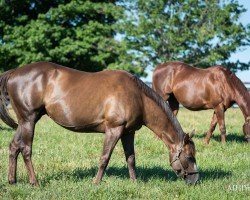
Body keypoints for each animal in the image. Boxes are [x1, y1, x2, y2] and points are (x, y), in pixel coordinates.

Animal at [0, 61, 199, 186]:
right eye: (190, 157)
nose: (195, 180)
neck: (138, 97)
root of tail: (13, 73)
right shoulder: (114, 130)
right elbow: (104, 158)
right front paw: (96, 183)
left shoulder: (128, 132)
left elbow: (131, 158)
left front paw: (134, 182)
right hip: (29, 120)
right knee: (26, 150)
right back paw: (35, 182)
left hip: (24, 121)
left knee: (14, 146)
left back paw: (12, 181)